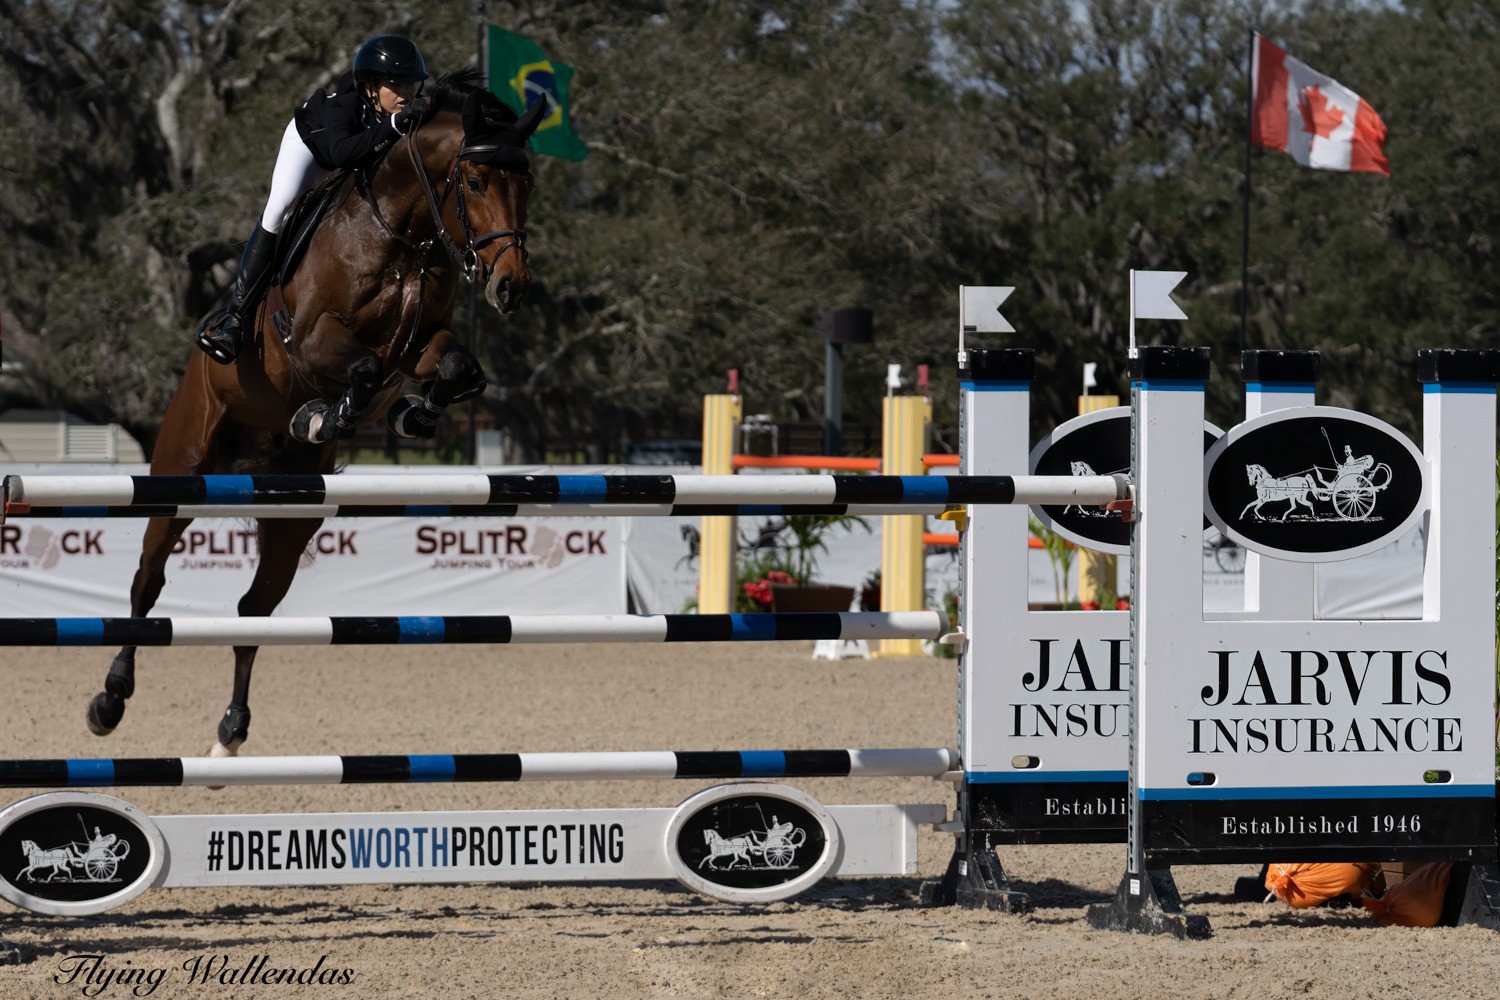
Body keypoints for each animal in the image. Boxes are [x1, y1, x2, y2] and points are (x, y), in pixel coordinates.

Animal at [85, 72, 546, 757]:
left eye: (528, 183)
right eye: (474, 181)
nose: (510, 287)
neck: (402, 234)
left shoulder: (422, 344)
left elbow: (459, 370)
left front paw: (410, 417)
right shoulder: (309, 339)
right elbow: (362, 368)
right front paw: (328, 416)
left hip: (294, 515)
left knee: (255, 608)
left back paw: (232, 729)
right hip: (180, 470)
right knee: (148, 581)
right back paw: (110, 699)